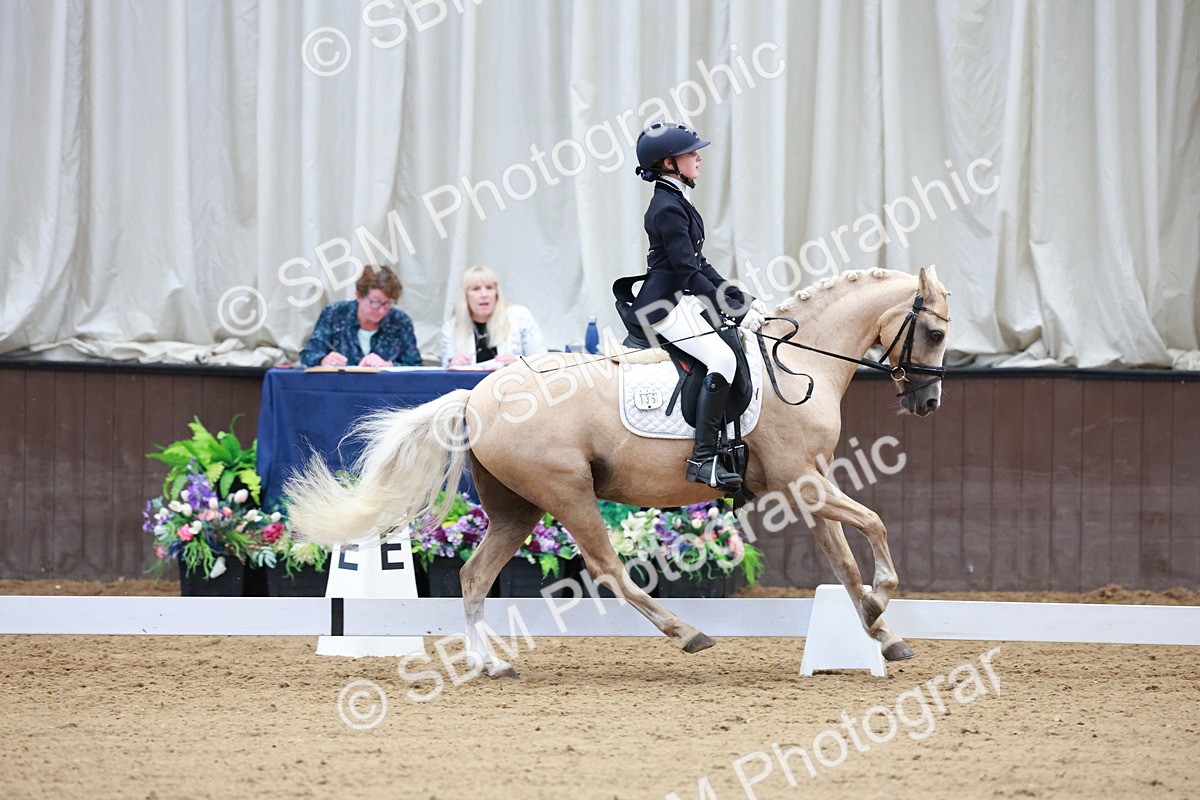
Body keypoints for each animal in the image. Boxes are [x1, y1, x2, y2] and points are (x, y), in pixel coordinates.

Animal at [286, 266, 952, 676]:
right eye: (933, 331)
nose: (928, 403)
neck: (798, 364)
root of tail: (476, 395)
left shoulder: (811, 486)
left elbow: (844, 560)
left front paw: (882, 633)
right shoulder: (802, 483)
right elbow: (875, 524)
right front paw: (882, 604)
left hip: (516, 507)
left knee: (474, 576)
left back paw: (491, 664)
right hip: (567, 492)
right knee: (607, 568)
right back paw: (686, 632)